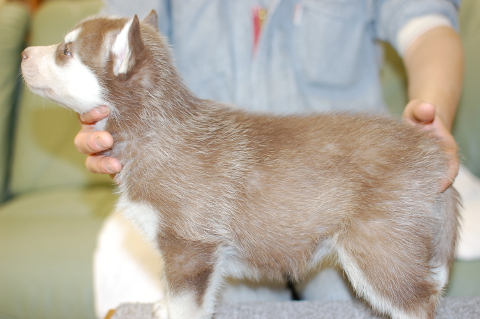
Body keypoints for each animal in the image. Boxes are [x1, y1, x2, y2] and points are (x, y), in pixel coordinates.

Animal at [21, 10, 462, 319]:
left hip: (377, 247)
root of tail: (429, 149)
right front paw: (163, 306)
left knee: (418, 300)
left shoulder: (188, 245)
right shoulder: (204, 253)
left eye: (65, 51)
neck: (154, 128)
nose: (24, 52)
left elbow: (186, 302)